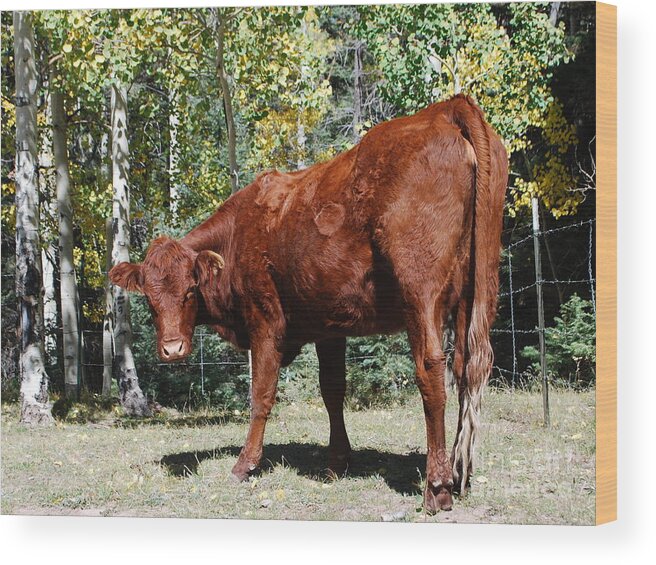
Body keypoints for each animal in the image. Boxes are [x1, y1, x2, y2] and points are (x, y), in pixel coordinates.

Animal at [110, 93, 508, 512]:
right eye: (149, 299)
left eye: (189, 289)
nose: (172, 348)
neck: (240, 233)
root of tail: (446, 108)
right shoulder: (329, 325)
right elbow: (332, 390)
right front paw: (337, 461)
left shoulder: (265, 322)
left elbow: (261, 393)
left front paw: (245, 464)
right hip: (473, 293)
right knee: (466, 367)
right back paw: (460, 473)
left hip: (421, 293)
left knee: (431, 369)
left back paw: (437, 486)